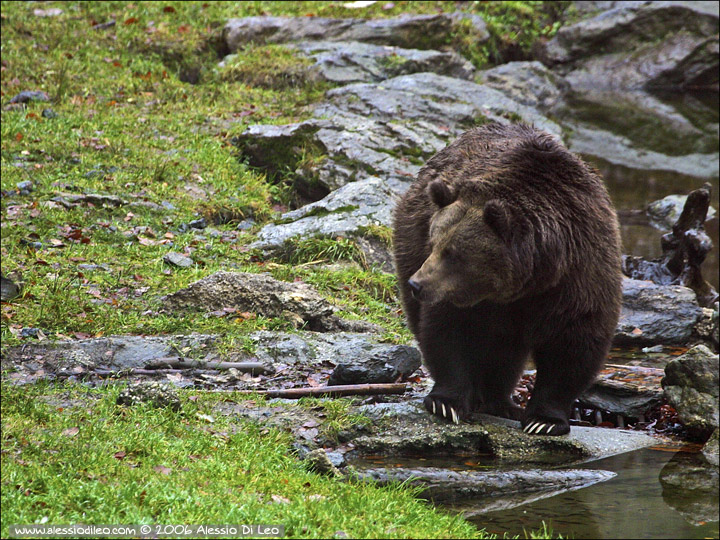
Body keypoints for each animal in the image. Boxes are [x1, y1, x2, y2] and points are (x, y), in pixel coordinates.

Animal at [390, 122, 620, 434]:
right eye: (434, 242)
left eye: (454, 253)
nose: (417, 284)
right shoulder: (458, 294)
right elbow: (447, 332)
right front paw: (447, 402)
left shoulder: (581, 273)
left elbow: (573, 343)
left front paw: (544, 421)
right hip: (410, 233)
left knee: (505, 350)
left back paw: (501, 401)